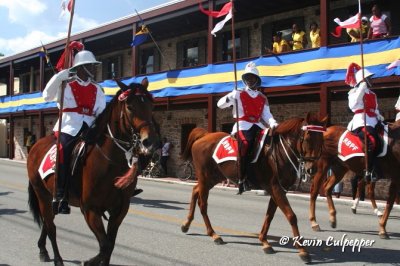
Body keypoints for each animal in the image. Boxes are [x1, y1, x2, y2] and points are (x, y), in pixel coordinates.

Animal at [26, 77, 158, 266]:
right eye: (130, 106)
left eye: (151, 105)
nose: (150, 141)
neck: (111, 162)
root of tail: (35, 146)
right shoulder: (90, 210)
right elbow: (105, 246)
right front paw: (89, 261)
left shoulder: (119, 210)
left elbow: (110, 245)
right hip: (41, 193)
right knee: (51, 226)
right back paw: (57, 259)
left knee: (47, 221)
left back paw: (43, 250)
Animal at [180, 111, 326, 262]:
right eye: (308, 138)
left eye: (322, 139)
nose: (312, 169)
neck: (279, 152)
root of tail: (204, 136)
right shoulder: (276, 188)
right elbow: (291, 216)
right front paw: (302, 250)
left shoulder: (278, 190)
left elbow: (270, 215)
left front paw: (264, 241)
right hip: (205, 177)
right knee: (203, 204)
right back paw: (213, 234)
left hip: (212, 178)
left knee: (195, 190)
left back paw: (186, 224)